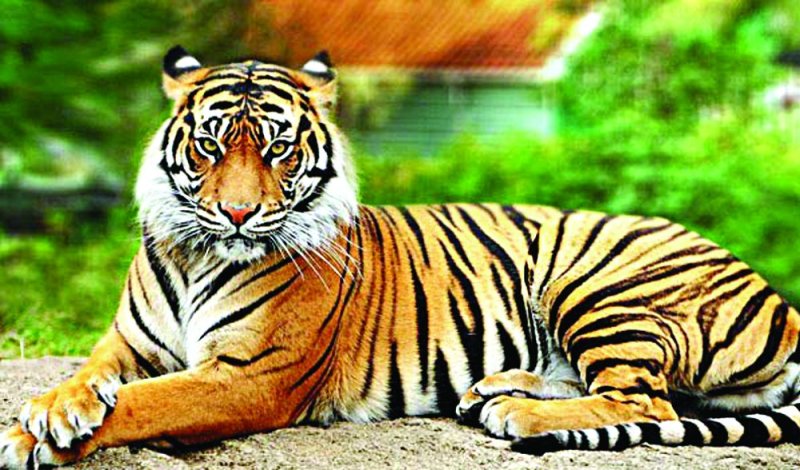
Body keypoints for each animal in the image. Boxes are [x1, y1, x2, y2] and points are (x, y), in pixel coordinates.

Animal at [1, 46, 799, 468]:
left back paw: (517, 415)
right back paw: (493, 390)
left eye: (278, 148)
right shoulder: (128, 344)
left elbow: (146, 402)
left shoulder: (248, 377)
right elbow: (90, 377)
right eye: (209, 145)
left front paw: (34, 437)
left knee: (642, 398)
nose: (237, 213)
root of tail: (784, 306)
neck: (200, 256)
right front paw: (49, 410)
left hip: (599, 283)